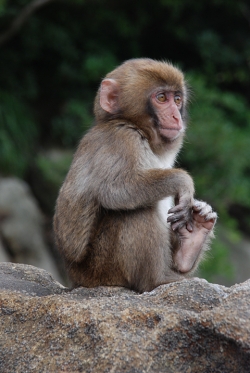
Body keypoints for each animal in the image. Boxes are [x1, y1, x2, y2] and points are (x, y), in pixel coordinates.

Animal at [53, 58, 217, 292]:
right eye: (161, 98)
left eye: (177, 99)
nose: (176, 116)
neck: (139, 129)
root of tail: (76, 281)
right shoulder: (121, 138)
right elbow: (116, 190)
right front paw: (183, 181)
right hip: (102, 270)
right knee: (136, 210)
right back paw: (156, 280)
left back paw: (189, 248)